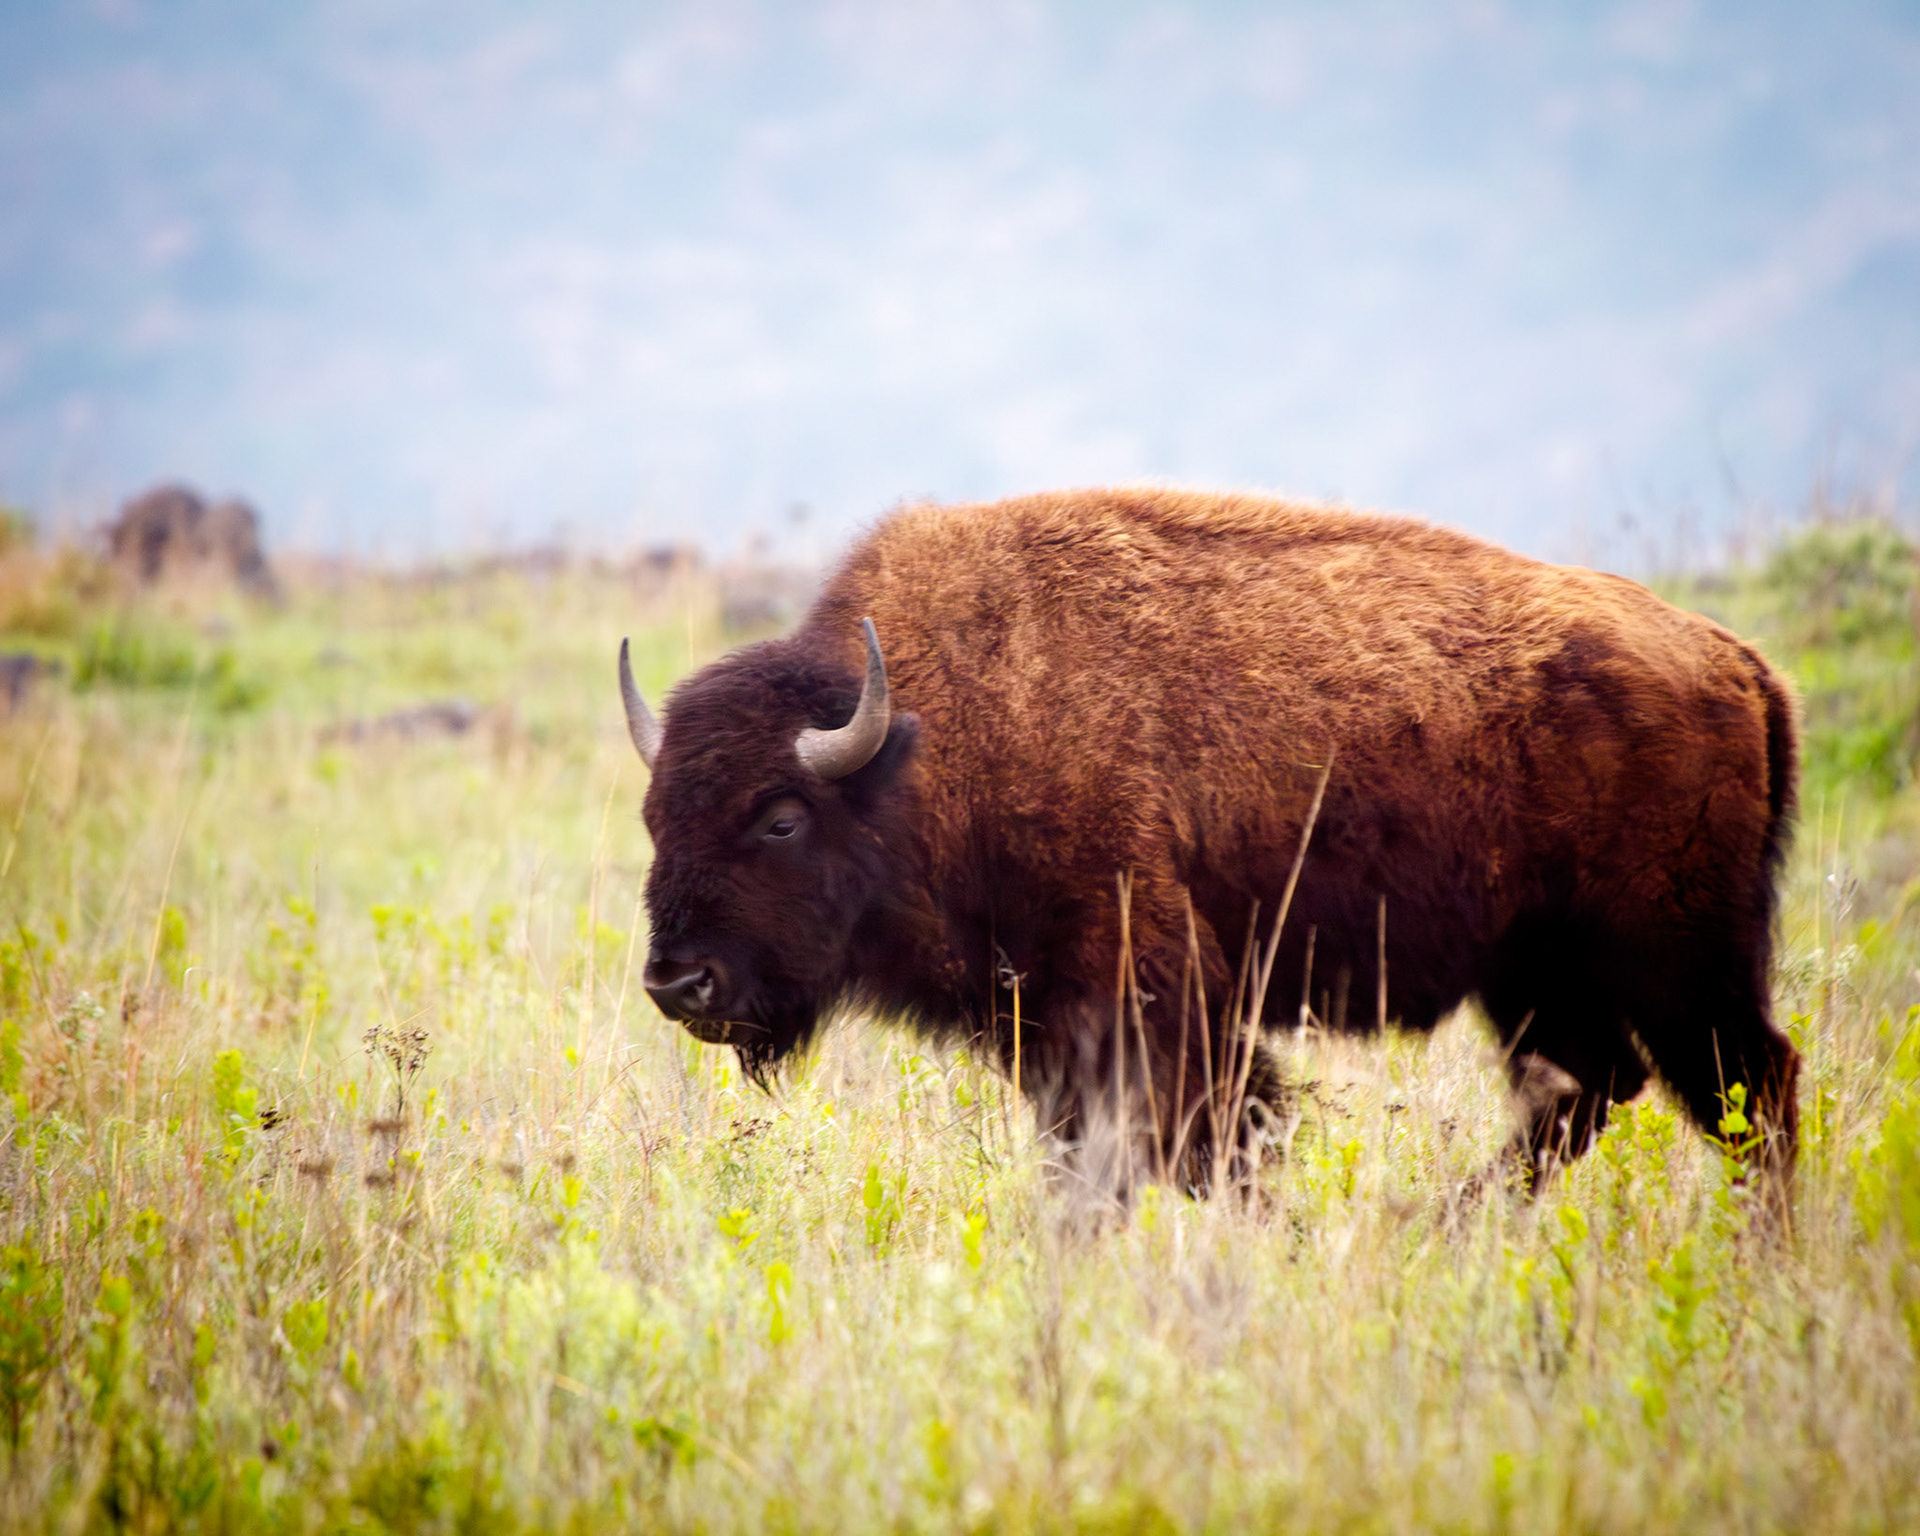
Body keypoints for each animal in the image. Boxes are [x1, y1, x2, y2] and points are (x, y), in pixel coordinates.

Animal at [621, 489, 1800, 1195]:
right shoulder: (1055, 1032)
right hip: (1538, 973)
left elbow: (1221, 1146)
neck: (930, 733)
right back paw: (1449, 1229)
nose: (679, 983)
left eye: (779, 817)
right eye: (654, 817)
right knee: (1590, 1089)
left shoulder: (1156, 1005)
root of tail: (1736, 661)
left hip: (1675, 961)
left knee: (1751, 1090)